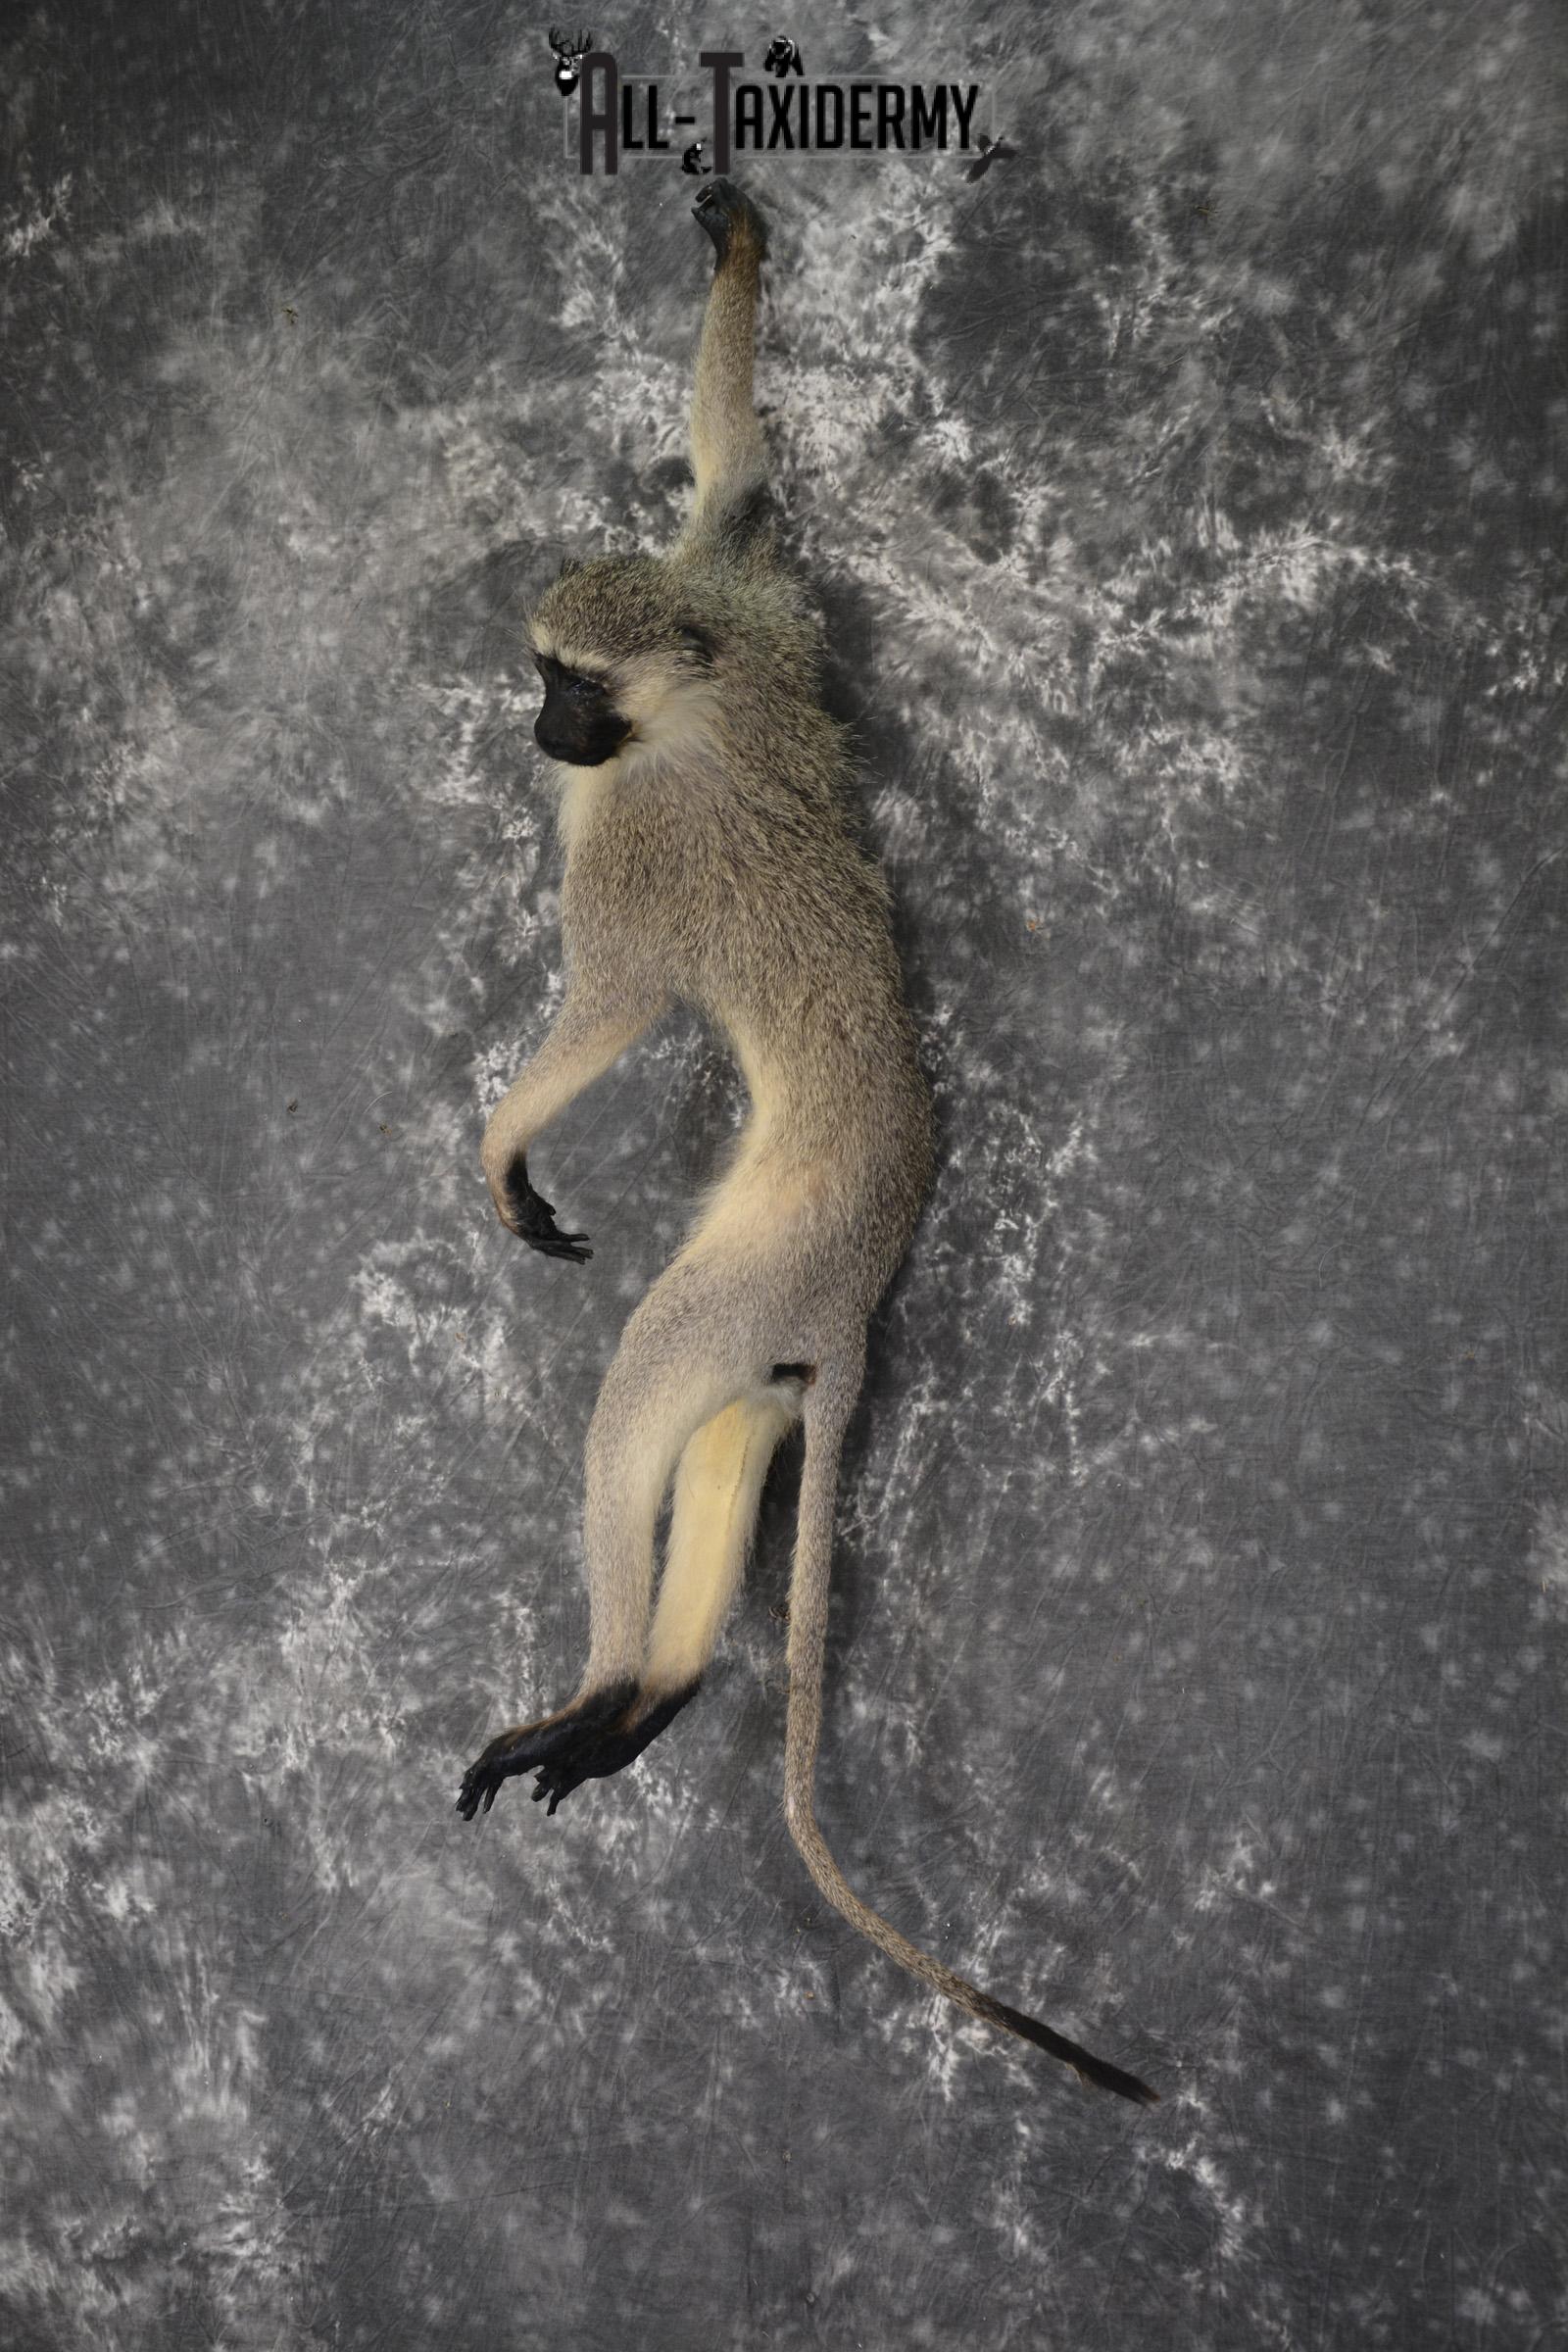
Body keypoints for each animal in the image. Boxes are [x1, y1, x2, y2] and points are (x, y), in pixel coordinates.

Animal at [454, 177, 1158, 2110]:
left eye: (568, 689)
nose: (530, 726)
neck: (691, 694)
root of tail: (855, 1278)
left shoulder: (635, 846)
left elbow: (612, 1005)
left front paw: (503, 1144)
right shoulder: (739, 588)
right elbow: (738, 476)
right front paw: (735, 255)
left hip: (752, 1268)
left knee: (644, 1389)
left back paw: (605, 1684)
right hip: (771, 1327)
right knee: (725, 1434)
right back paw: (654, 1698)